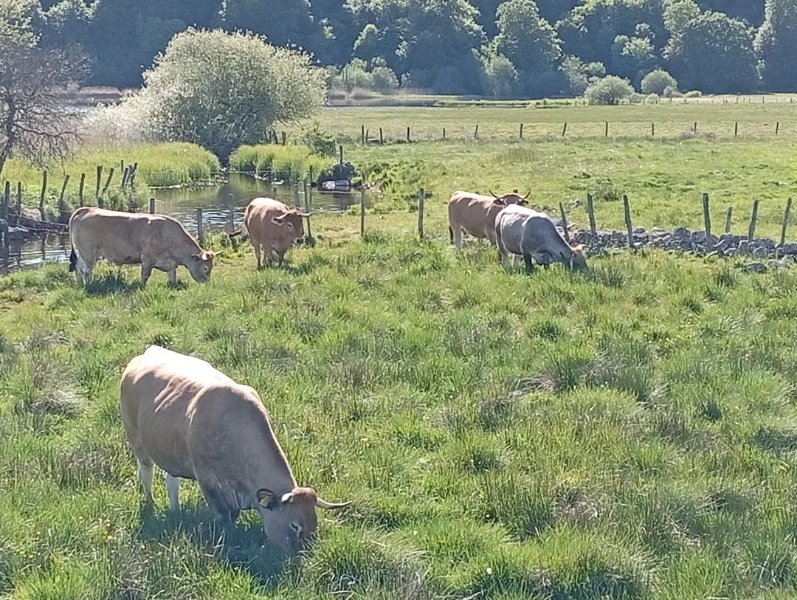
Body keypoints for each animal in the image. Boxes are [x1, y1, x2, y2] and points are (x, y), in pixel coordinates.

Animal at [68, 207, 215, 287]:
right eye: (205, 267)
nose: (207, 283)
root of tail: (87, 209)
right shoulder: (148, 259)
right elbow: (145, 275)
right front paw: (142, 287)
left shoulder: (170, 263)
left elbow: (172, 277)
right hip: (89, 252)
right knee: (87, 271)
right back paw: (89, 284)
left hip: (85, 253)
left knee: (78, 267)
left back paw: (81, 284)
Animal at [120, 345, 350, 554]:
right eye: (295, 525)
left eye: (314, 522)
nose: (307, 554)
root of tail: (149, 352)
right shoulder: (207, 481)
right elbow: (223, 517)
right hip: (136, 439)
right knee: (146, 472)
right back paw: (151, 504)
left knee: (171, 481)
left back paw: (175, 510)